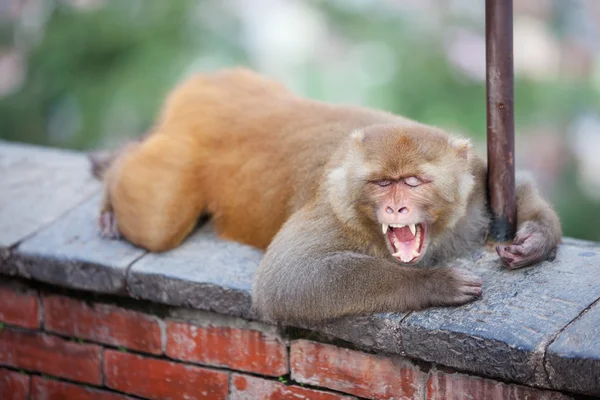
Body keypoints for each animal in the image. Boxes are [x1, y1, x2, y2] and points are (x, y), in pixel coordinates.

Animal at [90, 68, 564, 324]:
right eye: (380, 183)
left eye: (412, 181)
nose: (395, 206)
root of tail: (209, 84)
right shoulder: (337, 211)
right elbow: (285, 279)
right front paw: (434, 283)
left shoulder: (478, 184)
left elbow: (515, 189)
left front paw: (534, 241)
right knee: (160, 220)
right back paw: (114, 172)